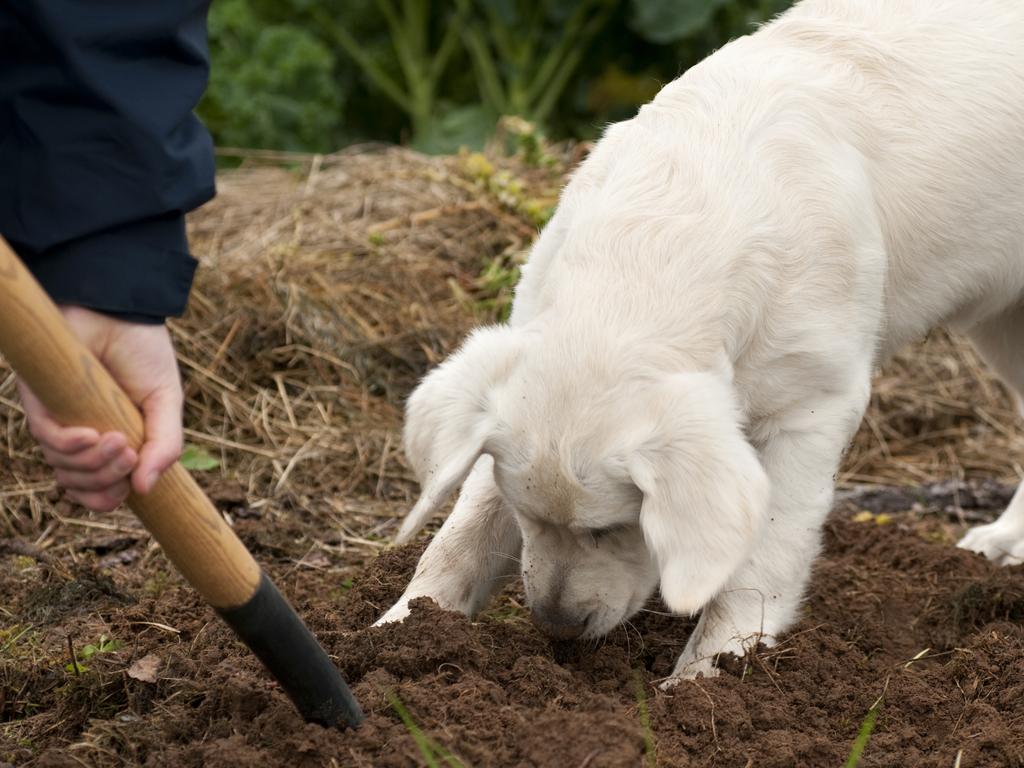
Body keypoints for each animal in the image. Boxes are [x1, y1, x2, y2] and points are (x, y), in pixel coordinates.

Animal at [374, 0, 1024, 684]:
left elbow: (762, 558)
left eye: (615, 527)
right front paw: (395, 634)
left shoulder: (814, 406)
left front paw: (707, 678)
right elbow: (461, 533)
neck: (648, 257)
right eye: (527, 516)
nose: (557, 627)